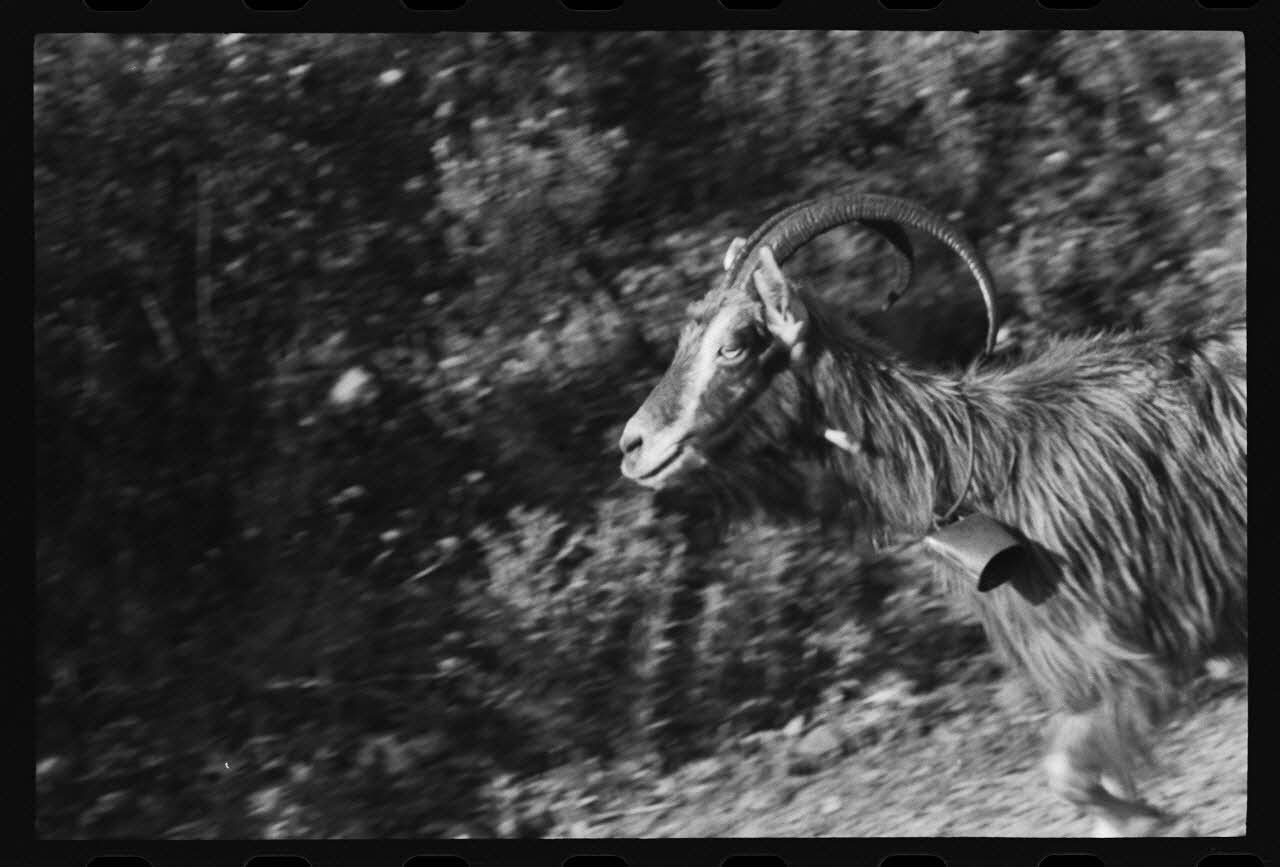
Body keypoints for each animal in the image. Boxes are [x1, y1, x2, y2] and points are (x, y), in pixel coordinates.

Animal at [618, 192, 1247, 836]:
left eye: (734, 345)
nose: (633, 445)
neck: (978, 459)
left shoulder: (1128, 654)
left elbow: (1066, 773)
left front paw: (1156, 820)